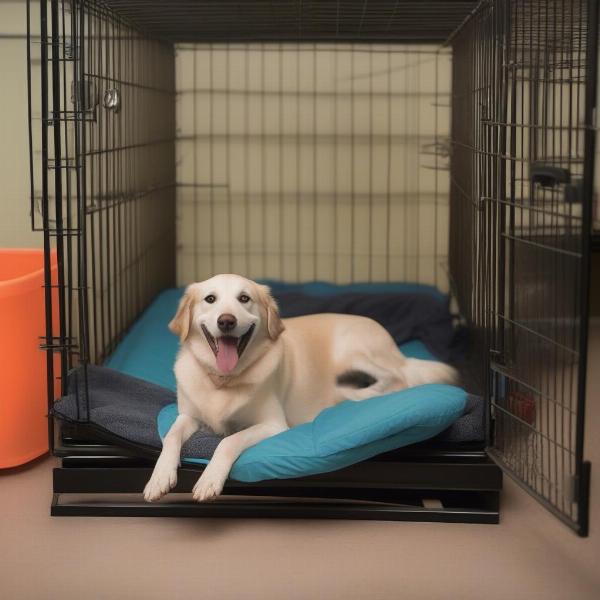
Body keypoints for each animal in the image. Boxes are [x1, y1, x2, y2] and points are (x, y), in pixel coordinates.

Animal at [143, 274, 458, 504]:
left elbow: (228, 441)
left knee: (398, 379)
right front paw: (159, 477)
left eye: (244, 298)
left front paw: (209, 479)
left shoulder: (273, 425)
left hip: (354, 351)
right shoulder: (188, 415)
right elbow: (170, 437)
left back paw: (350, 394)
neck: (224, 380)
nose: (226, 321)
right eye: (210, 299)